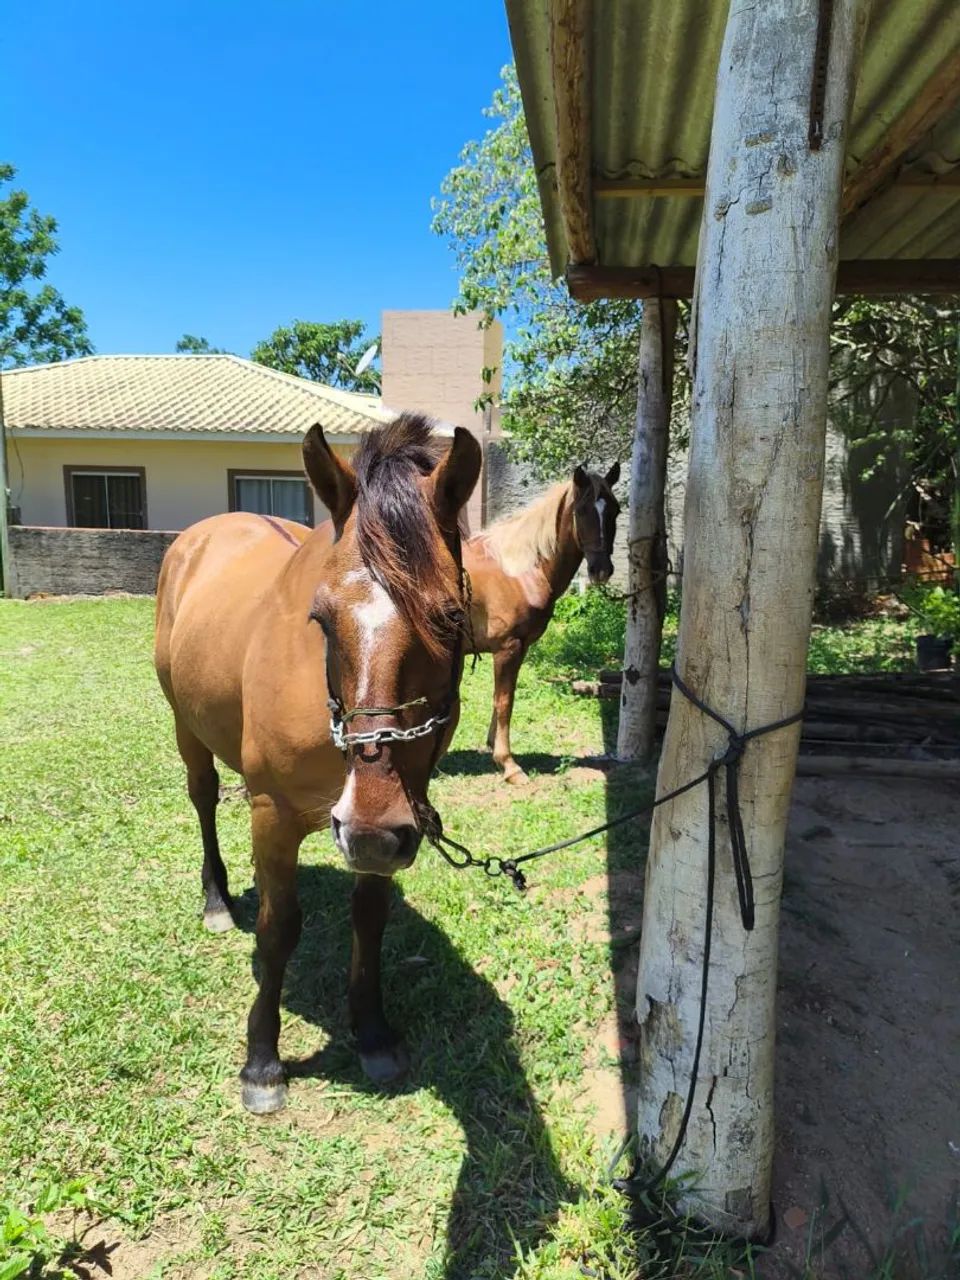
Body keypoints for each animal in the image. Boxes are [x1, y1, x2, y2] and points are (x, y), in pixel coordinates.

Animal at [154, 414, 481, 1115]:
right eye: (321, 620)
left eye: (449, 618)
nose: (368, 829)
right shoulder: (273, 816)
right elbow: (278, 930)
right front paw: (262, 1062)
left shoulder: (394, 822)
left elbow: (370, 919)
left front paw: (373, 1032)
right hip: (185, 727)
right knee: (202, 798)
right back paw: (216, 899)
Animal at [463, 464, 621, 782]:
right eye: (582, 510)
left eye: (615, 510)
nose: (601, 570)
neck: (518, 571)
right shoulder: (508, 648)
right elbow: (505, 701)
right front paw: (508, 764)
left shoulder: (519, 648)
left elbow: (501, 698)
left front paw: (493, 746)